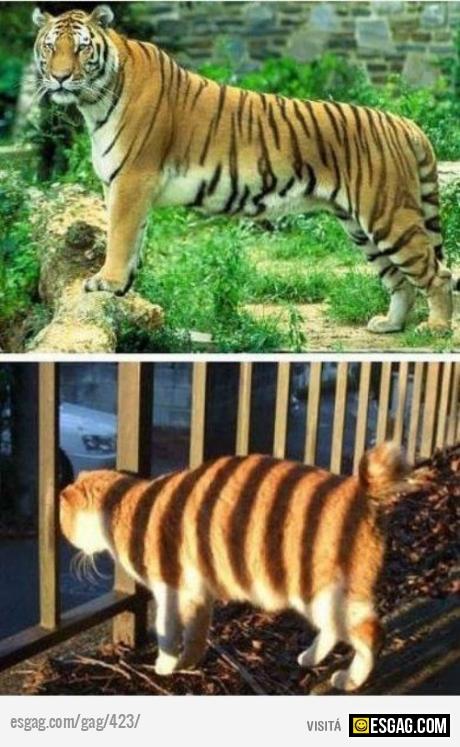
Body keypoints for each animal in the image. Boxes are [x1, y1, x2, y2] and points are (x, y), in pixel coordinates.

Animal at [33, 5, 456, 334]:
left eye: (81, 47)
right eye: (51, 46)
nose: (60, 77)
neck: (95, 101)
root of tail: (405, 123)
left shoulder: (133, 180)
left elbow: (120, 236)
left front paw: (106, 282)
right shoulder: (120, 184)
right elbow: (131, 238)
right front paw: (123, 289)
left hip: (388, 216)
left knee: (438, 274)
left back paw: (435, 328)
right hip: (360, 226)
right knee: (400, 280)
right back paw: (390, 325)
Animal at [60, 442, 411, 692]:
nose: (73, 548)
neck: (129, 506)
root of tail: (359, 490)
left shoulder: (169, 591)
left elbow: (166, 632)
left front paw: (165, 664)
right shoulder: (198, 595)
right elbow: (196, 635)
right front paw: (187, 662)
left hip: (322, 592)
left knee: (371, 634)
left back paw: (351, 679)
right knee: (336, 630)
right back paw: (311, 657)